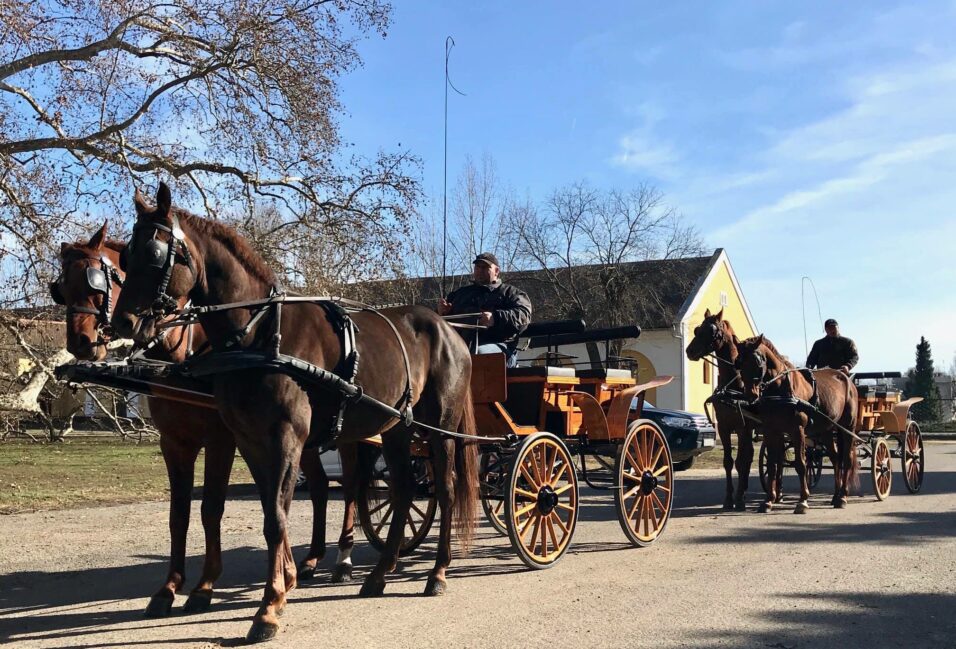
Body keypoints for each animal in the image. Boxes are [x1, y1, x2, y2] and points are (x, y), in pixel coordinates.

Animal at [52, 225, 366, 616]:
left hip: (350, 435)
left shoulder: (221, 439)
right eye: (61, 288)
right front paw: (169, 588)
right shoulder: (175, 442)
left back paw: (344, 557)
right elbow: (179, 514)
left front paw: (204, 586)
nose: (80, 342)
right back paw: (311, 559)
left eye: (95, 281)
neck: (184, 357)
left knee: (351, 487)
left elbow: (211, 508)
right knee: (321, 488)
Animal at [114, 182, 478, 644]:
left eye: (156, 253)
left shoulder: (283, 437)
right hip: (397, 429)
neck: (260, 334)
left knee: (444, 492)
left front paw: (269, 607)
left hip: (440, 429)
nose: (123, 323)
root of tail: (450, 330)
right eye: (125, 257)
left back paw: (438, 573)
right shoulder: (249, 441)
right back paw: (379, 573)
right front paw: (280, 586)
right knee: (402, 492)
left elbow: (275, 519)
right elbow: (269, 513)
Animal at [684, 308, 760, 512]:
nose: (689, 351)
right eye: (697, 329)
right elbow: (728, 462)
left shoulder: (742, 428)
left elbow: (740, 462)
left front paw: (739, 500)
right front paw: (728, 499)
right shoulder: (724, 428)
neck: (732, 386)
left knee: (750, 457)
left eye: (711, 331)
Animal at [732, 334, 860, 512]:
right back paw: (835, 496)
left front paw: (803, 500)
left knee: (846, 460)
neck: (779, 389)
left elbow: (801, 464)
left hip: (848, 427)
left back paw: (842, 497)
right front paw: (768, 501)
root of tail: (846, 379)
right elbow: (772, 465)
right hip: (826, 430)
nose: (751, 394)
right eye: (738, 362)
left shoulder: (797, 429)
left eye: (758, 362)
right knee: (835, 458)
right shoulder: (771, 430)